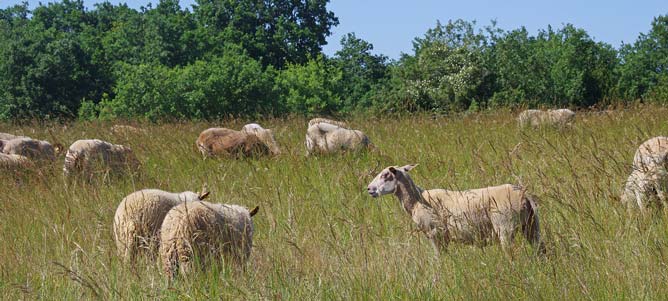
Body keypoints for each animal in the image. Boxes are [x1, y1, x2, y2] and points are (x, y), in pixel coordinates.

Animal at [366, 164, 544, 253]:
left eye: (385, 175)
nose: (369, 189)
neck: (416, 200)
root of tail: (523, 194)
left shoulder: (435, 233)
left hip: (505, 227)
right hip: (531, 225)